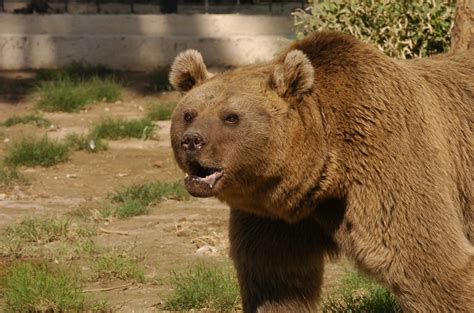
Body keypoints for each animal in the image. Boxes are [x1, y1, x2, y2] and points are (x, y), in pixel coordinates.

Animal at [168, 30, 472, 310]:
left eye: (231, 117)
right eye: (189, 114)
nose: (192, 140)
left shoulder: (389, 160)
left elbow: (425, 263)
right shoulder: (274, 215)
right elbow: (277, 279)